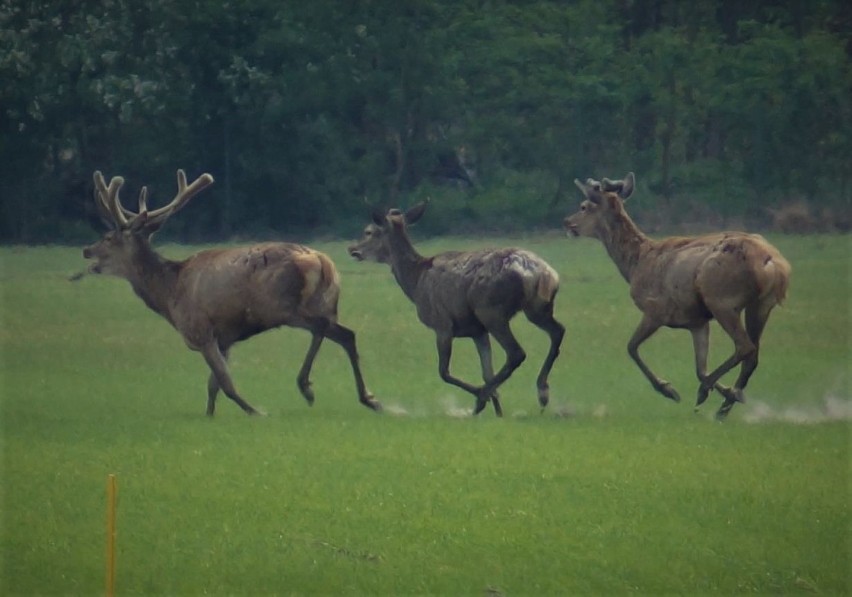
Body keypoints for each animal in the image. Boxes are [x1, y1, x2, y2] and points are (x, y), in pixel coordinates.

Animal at [81, 169, 382, 414]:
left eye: (108, 238)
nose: (86, 250)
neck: (169, 294)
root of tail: (322, 261)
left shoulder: (200, 331)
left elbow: (225, 383)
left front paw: (256, 411)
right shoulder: (225, 338)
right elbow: (212, 386)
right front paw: (210, 416)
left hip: (285, 307)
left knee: (322, 328)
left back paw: (306, 386)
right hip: (325, 303)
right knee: (346, 334)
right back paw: (369, 398)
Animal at [348, 200, 564, 414]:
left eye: (368, 231)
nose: (352, 249)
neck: (415, 282)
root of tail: (543, 274)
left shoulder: (442, 324)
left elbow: (444, 372)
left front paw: (481, 398)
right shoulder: (477, 331)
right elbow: (486, 372)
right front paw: (498, 413)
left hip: (491, 310)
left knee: (516, 352)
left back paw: (486, 396)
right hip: (537, 308)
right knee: (558, 331)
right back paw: (542, 391)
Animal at [564, 170, 792, 416]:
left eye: (584, 206)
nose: (566, 222)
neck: (636, 263)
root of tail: (773, 264)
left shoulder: (656, 309)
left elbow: (631, 347)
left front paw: (668, 389)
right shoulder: (697, 321)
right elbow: (700, 368)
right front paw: (720, 391)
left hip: (721, 300)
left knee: (745, 346)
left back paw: (713, 393)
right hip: (760, 304)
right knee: (753, 353)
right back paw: (726, 403)